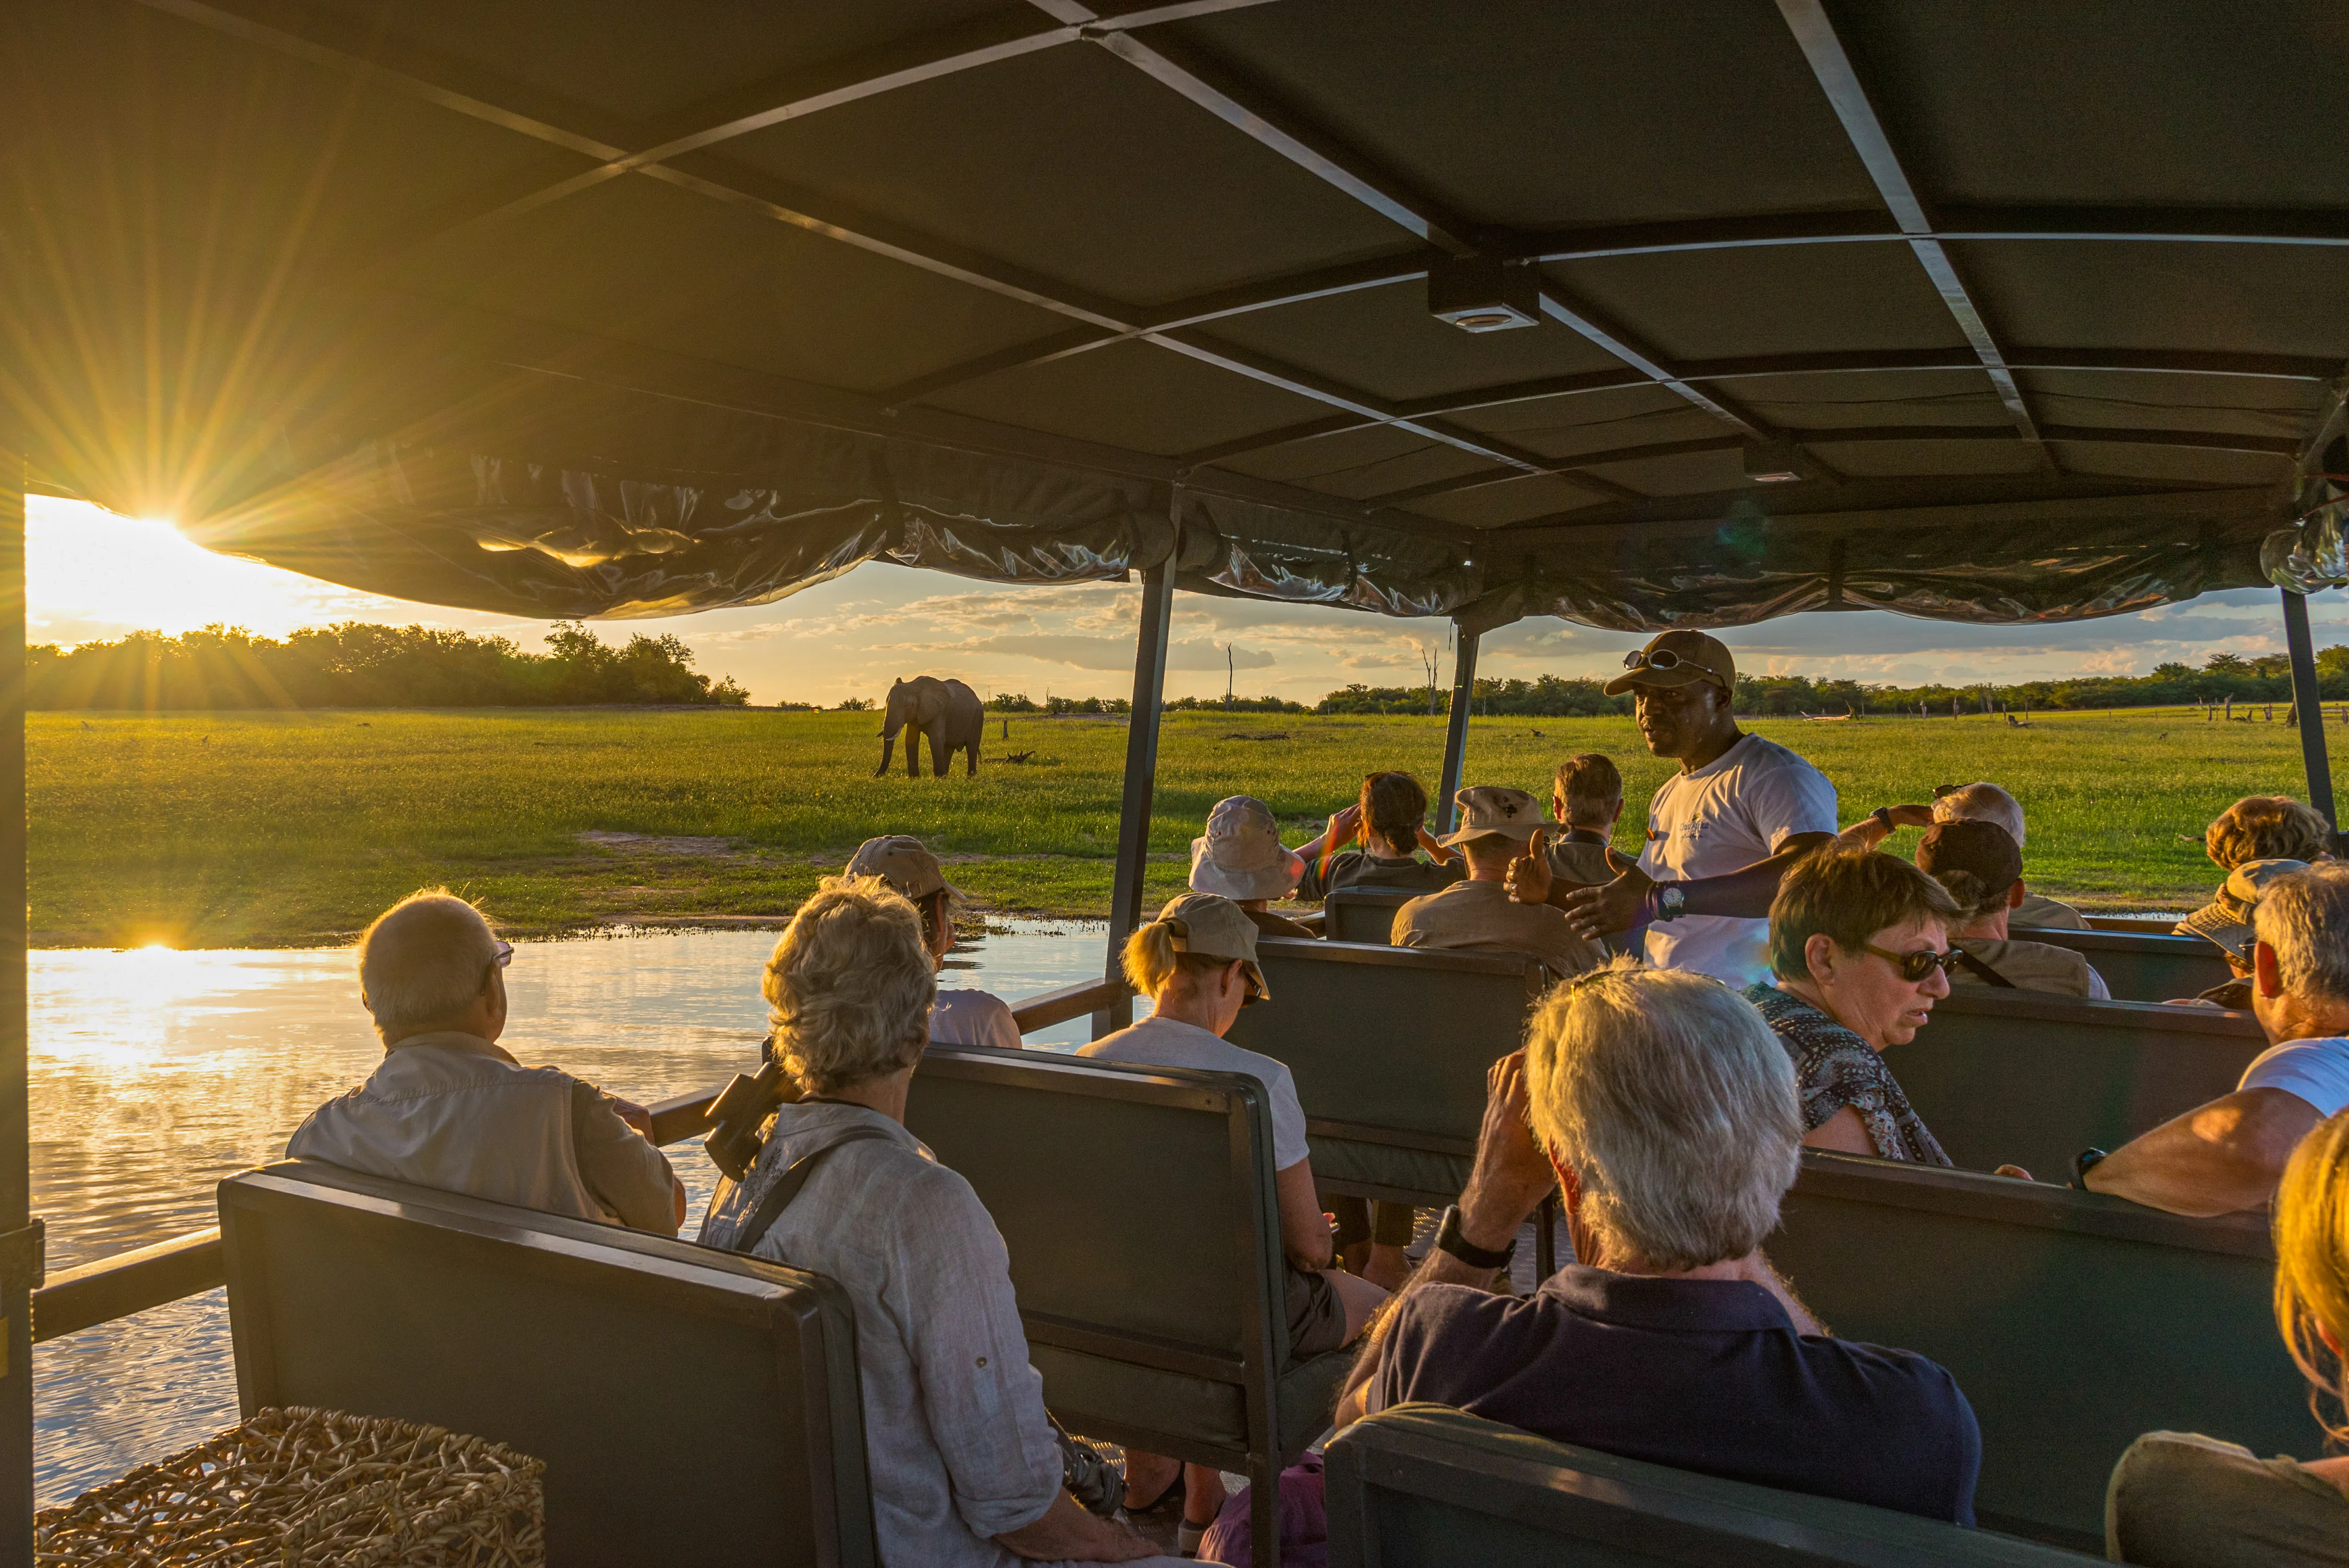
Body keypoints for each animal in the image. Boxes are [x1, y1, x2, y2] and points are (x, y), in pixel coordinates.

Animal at [883, 676, 991, 779]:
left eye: (907, 707)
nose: (878, 776)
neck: (913, 685)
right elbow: (911, 740)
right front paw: (914, 778)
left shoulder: (940, 711)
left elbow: (936, 739)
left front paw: (937, 778)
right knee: (949, 748)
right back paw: (945, 777)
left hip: (977, 717)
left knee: (972, 747)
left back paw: (970, 778)